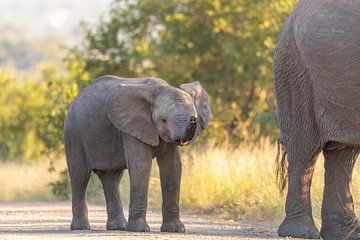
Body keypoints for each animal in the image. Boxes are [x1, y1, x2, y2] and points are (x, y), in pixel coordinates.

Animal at [64, 75, 211, 232]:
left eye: (195, 116)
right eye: (163, 120)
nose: (193, 119)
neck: (160, 89)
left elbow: (172, 167)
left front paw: (175, 230)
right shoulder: (132, 127)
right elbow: (141, 165)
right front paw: (139, 230)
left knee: (111, 178)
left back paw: (118, 227)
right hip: (74, 133)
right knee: (80, 176)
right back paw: (81, 228)